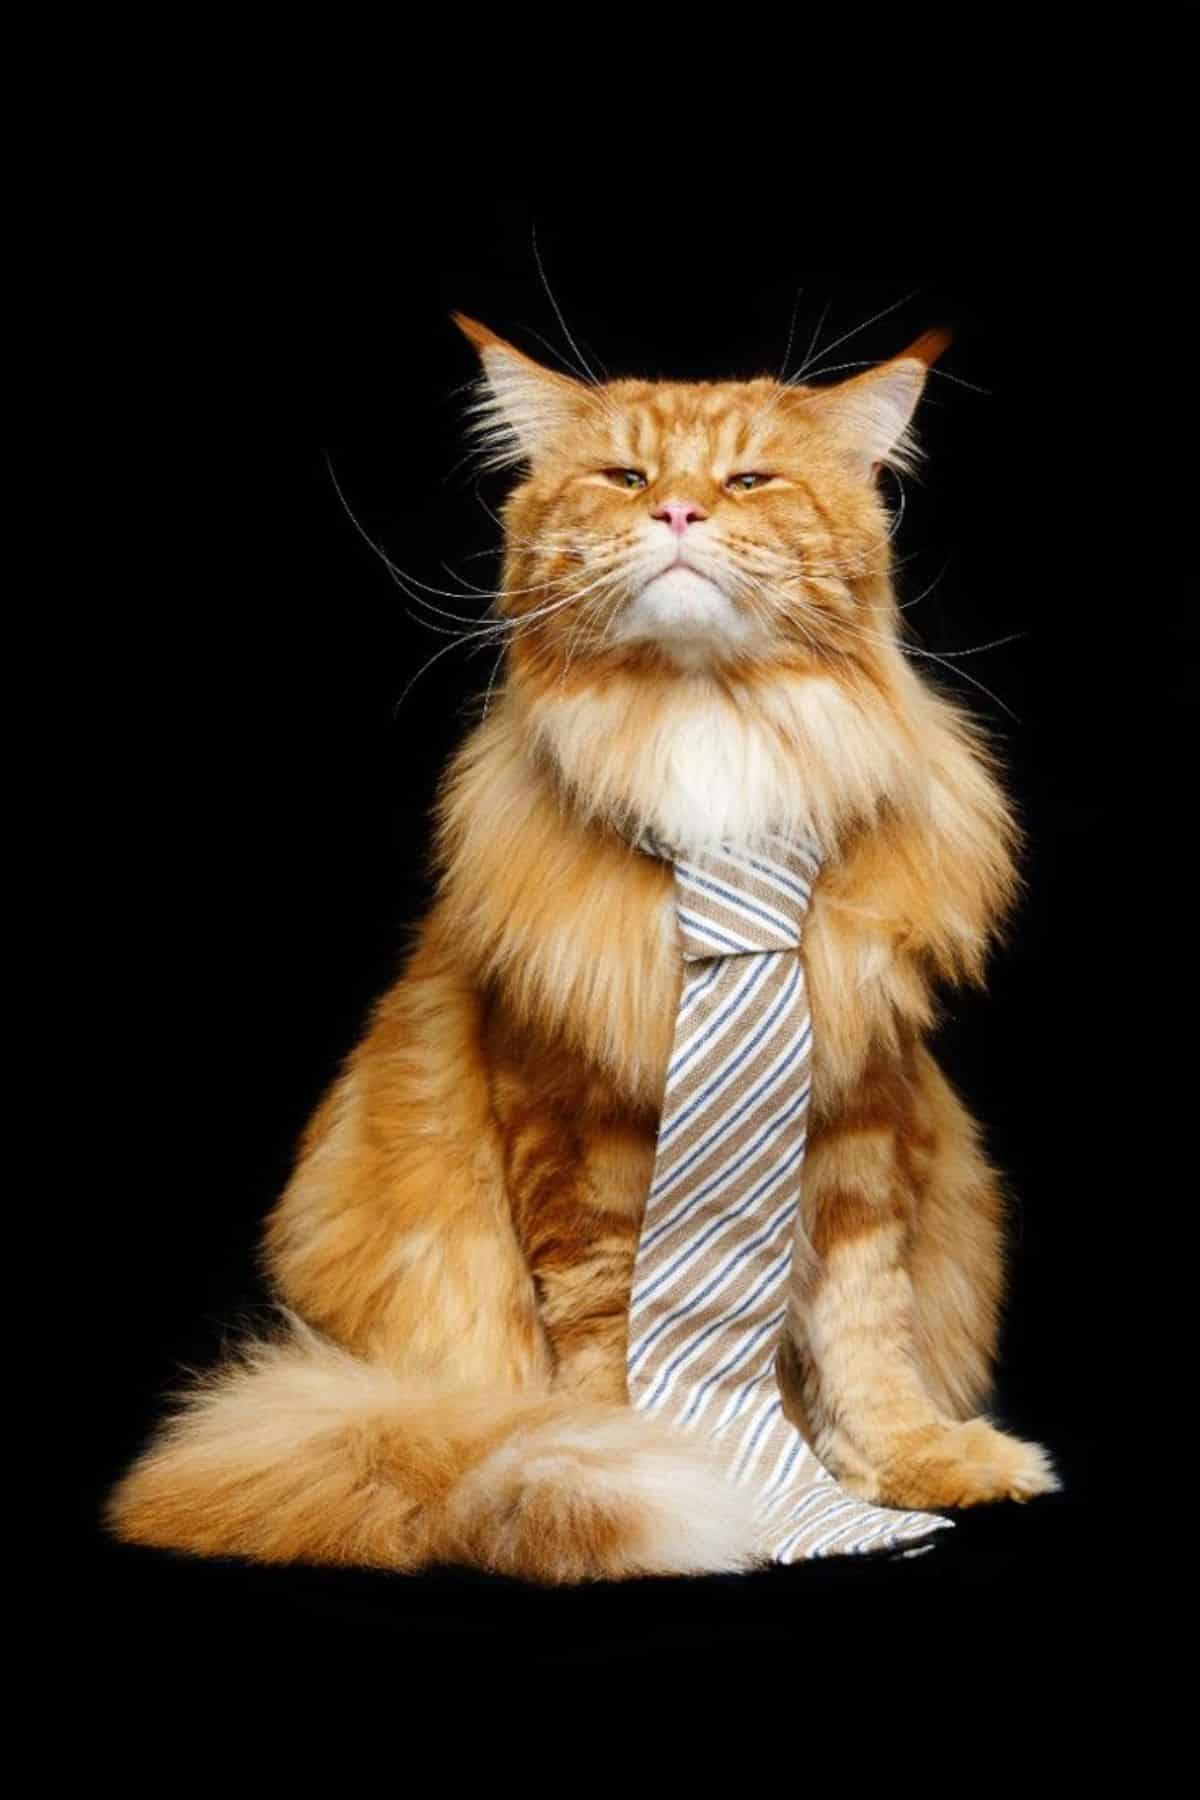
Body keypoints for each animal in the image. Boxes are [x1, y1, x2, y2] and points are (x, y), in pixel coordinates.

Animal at [107, 316, 1057, 1584]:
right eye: (626, 476)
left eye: (748, 481)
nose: (680, 513)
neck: (706, 735)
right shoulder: (574, 1131)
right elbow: (609, 1332)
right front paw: (643, 1461)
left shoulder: (860, 1109)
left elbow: (867, 1326)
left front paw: (911, 1464)